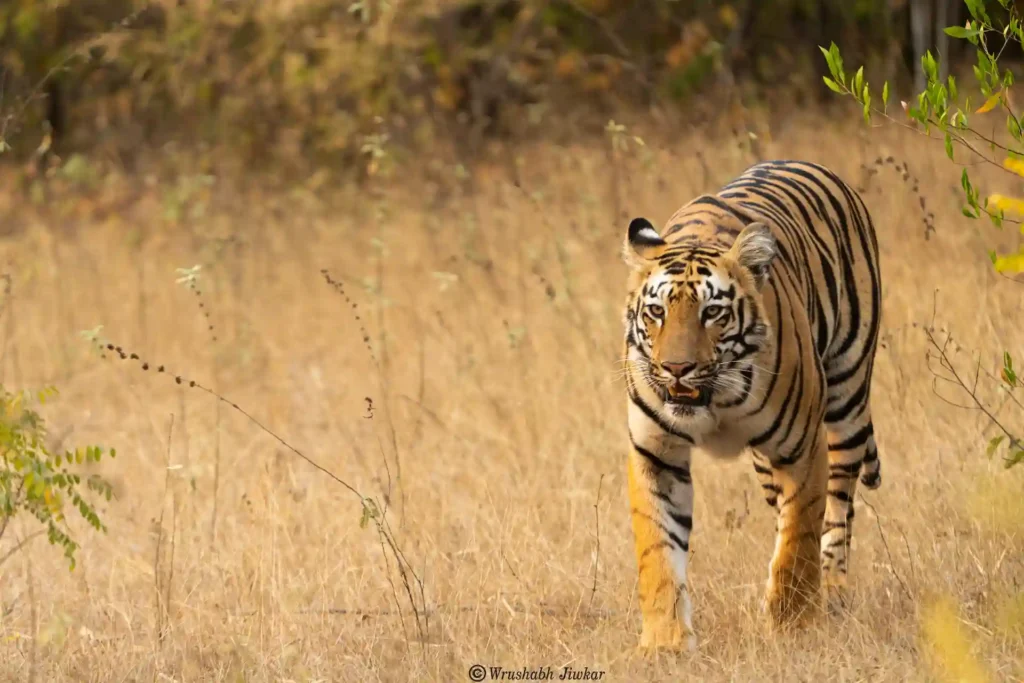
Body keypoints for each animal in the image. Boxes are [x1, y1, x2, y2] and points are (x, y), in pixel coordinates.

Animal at [618, 158, 884, 651]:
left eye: (712, 313)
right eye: (657, 312)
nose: (677, 368)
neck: (714, 402)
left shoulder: (802, 449)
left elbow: (799, 535)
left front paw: (793, 626)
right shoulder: (655, 452)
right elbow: (657, 551)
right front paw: (665, 643)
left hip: (848, 395)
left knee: (838, 505)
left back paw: (834, 589)